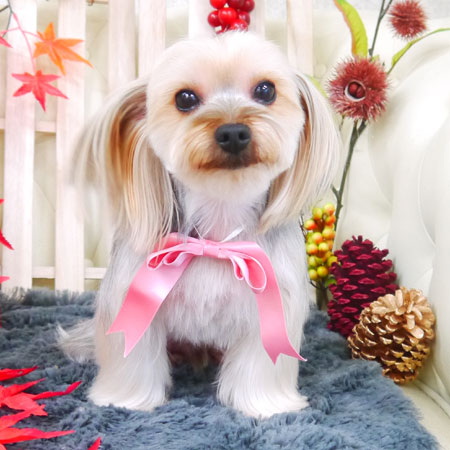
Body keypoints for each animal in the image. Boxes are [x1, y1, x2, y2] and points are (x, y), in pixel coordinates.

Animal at [59, 31, 339, 418]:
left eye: (266, 90)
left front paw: (264, 406)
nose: (233, 132)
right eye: (185, 98)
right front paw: (125, 400)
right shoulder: (133, 294)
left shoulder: (272, 303)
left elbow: (260, 362)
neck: (218, 233)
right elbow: (135, 356)